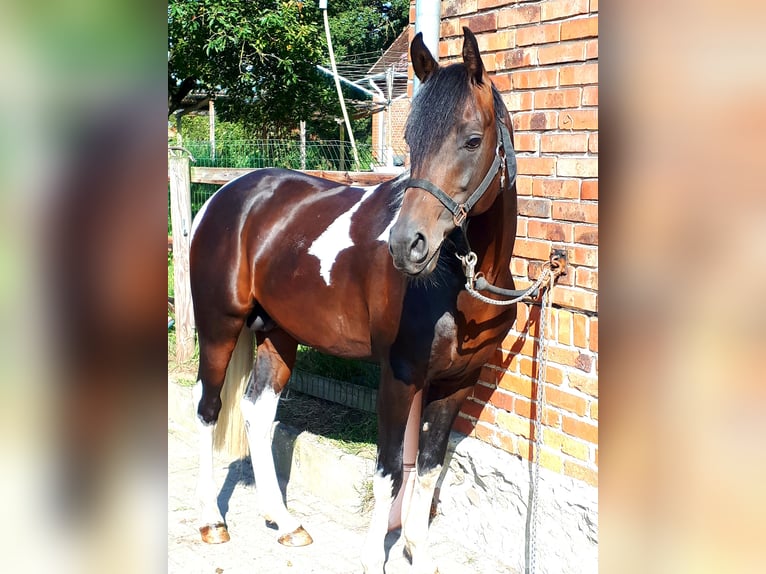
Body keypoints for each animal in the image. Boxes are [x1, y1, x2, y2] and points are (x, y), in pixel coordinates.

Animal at [188, 27, 519, 573]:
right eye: (410, 141)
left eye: (473, 140)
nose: (407, 245)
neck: (458, 281)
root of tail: (223, 196)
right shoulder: (399, 375)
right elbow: (389, 470)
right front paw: (374, 559)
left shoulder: (457, 383)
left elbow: (428, 470)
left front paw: (418, 554)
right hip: (219, 327)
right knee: (208, 408)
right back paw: (212, 522)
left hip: (279, 334)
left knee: (257, 412)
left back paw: (286, 523)